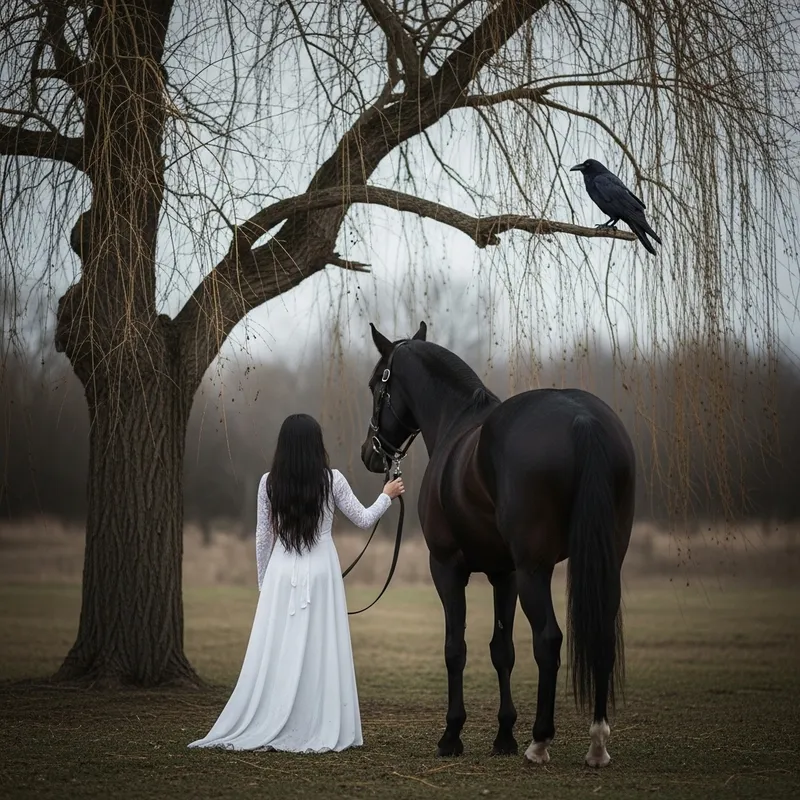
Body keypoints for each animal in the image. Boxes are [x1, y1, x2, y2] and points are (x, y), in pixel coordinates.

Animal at [360, 321, 635, 768]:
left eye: (374, 385)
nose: (370, 453)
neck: (457, 422)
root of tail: (583, 420)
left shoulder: (447, 567)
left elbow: (455, 647)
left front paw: (451, 735)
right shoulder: (503, 573)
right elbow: (501, 649)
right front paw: (504, 734)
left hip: (534, 569)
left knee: (549, 639)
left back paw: (540, 742)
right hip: (605, 560)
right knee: (601, 637)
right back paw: (597, 743)